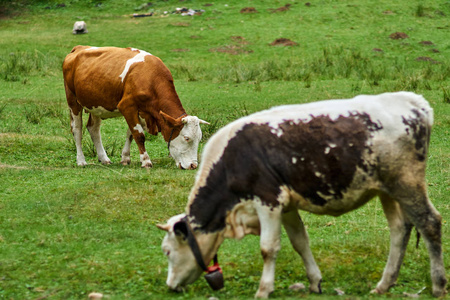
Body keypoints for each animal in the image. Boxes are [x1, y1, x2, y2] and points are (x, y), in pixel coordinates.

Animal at [62, 46, 209, 170]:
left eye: (199, 139)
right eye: (186, 138)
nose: (193, 165)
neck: (150, 78)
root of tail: (79, 48)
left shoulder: (142, 111)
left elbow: (131, 134)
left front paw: (125, 158)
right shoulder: (127, 106)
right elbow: (139, 135)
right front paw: (146, 161)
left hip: (96, 105)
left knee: (93, 129)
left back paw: (104, 158)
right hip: (73, 101)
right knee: (77, 130)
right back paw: (81, 160)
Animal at [158, 91, 446, 298]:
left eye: (168, 251)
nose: (170, 285)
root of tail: (413, 101)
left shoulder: (268, 201)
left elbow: (268, 248)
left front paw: (263, 289)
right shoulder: (287, 206)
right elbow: (300, 242)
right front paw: (315, 282)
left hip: (406, 183)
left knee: (430, 223)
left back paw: (438, 285)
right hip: (387, 190)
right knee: (400, 229)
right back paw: (384, 285)